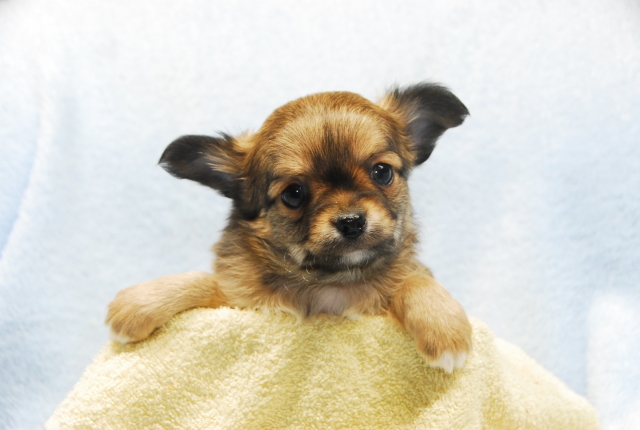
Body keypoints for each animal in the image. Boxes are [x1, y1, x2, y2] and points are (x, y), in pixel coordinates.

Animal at [106, 83, 472, 373]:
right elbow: (205, 281)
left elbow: (415, 281)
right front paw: (137, 304)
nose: (351, 222)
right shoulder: (240, 303)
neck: (328, 284)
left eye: (382, 172)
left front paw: (446, 330)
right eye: (294, 194)